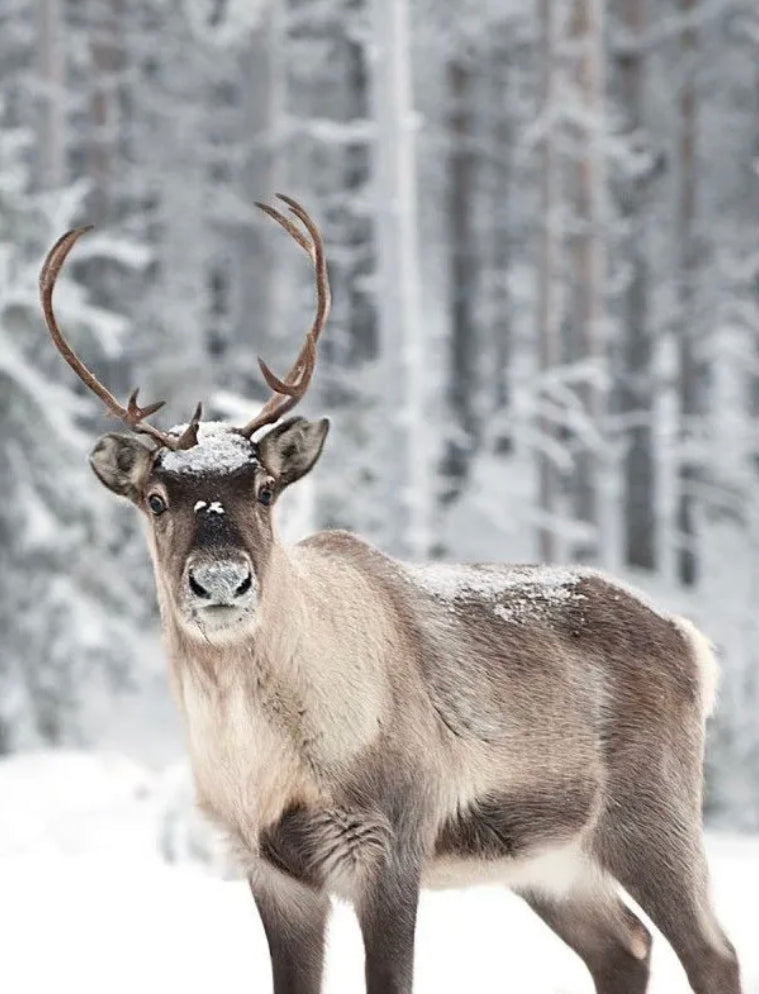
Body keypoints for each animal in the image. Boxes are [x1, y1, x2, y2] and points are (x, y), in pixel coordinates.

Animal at [40, 195, 741, 994]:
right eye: (156, 500)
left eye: (265, 489)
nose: (221, 579)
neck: (265, 757)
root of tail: (688, 638)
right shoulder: (272, 868)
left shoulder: (389, 841)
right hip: (548, 860)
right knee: (624, 945)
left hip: (651, 813)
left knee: (711, 952)